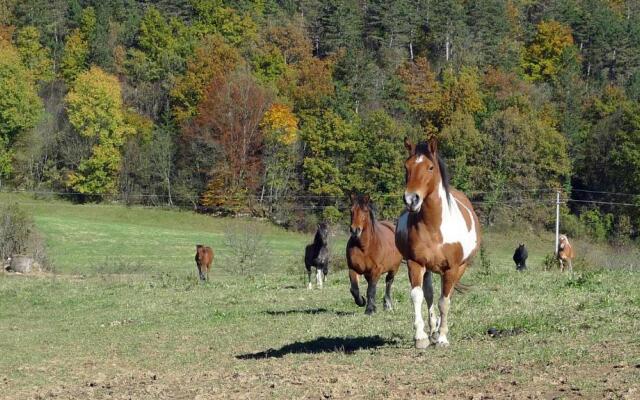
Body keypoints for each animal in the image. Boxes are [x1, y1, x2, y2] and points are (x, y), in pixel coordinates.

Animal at [396, 139, 480, 348]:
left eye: (430, 167)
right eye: (406, 167)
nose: (411, 199)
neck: (434, 227)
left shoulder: (452, 268)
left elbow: (445, 302)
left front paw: (442, 337)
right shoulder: (415, 264)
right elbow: (417, 296)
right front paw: (421, 337)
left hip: (459, 268)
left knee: (445, 296)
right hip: (427, 268)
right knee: (429, 295)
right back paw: (432, 330)